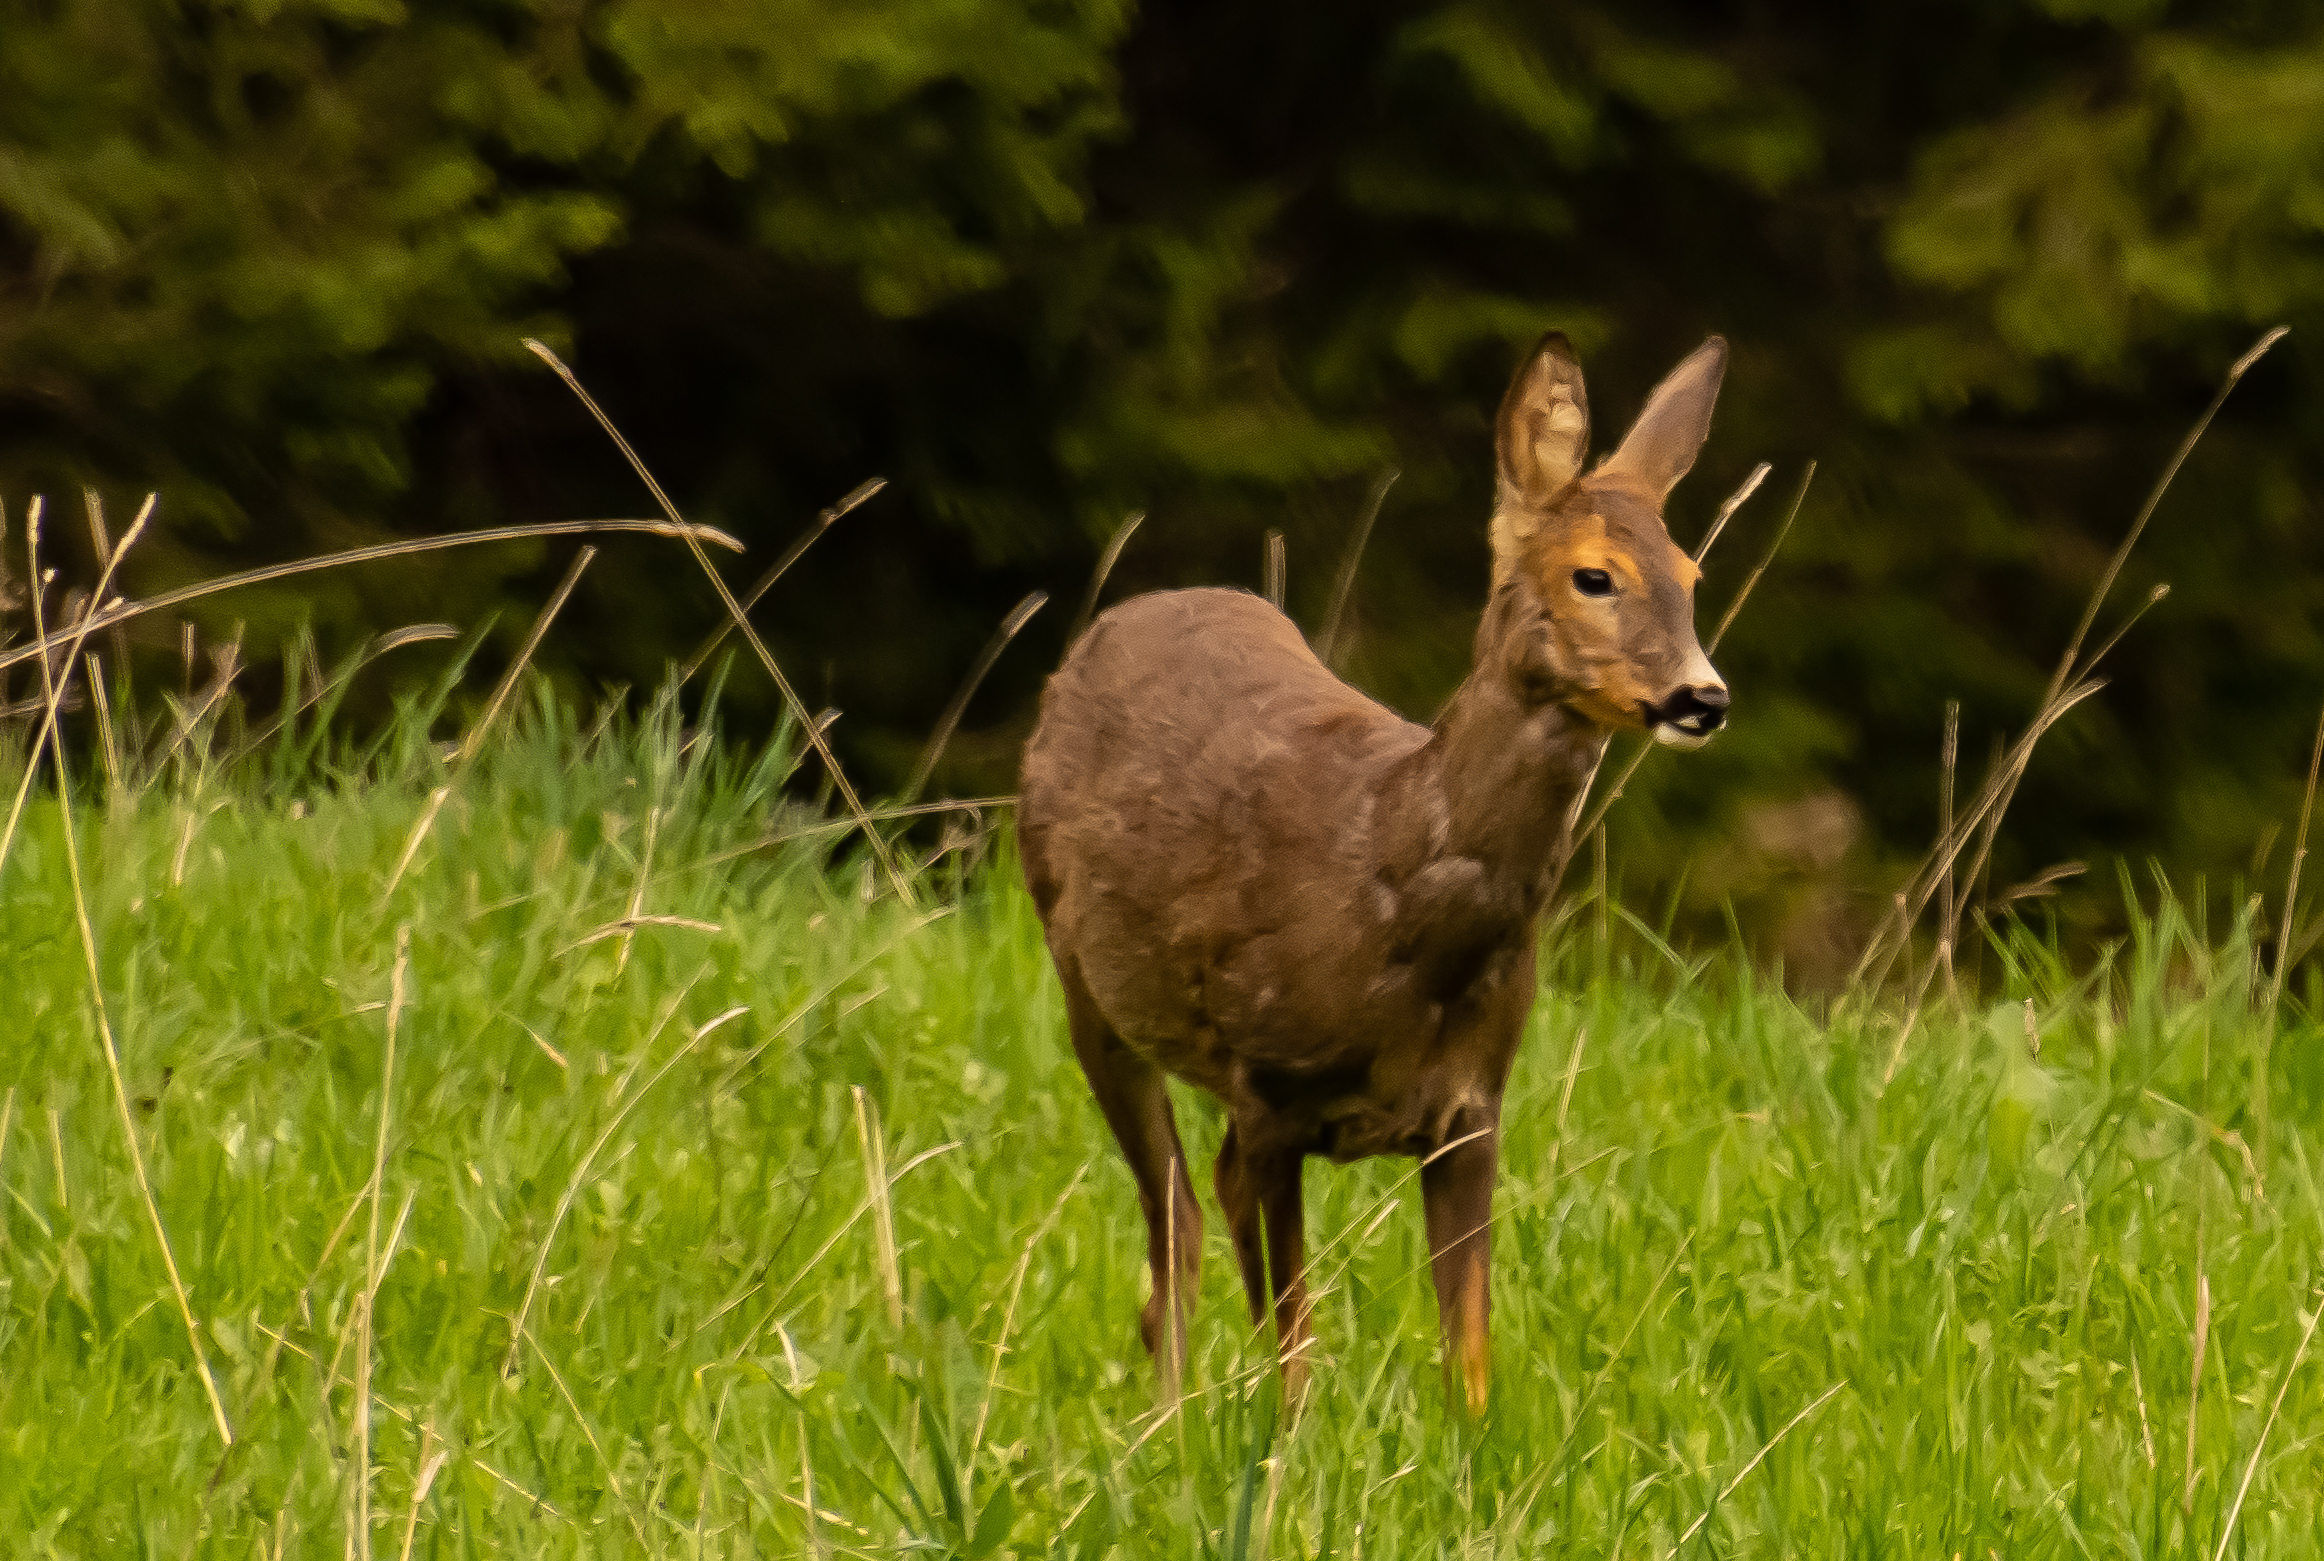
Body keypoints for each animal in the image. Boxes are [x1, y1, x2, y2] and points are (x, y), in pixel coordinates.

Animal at [1017, 329, 1729, 1412]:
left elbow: (1468, 1353)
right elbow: (1294, 1338)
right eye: (1593, 576)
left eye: (1690, 573)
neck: (1396, 896)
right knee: (1174, 1217)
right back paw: (1168, 1415)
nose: (1702, 697)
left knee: (1192, 1207)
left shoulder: (1471, 1112)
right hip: (1086, 986)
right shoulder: (1266, 1086)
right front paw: (1282, 1448)